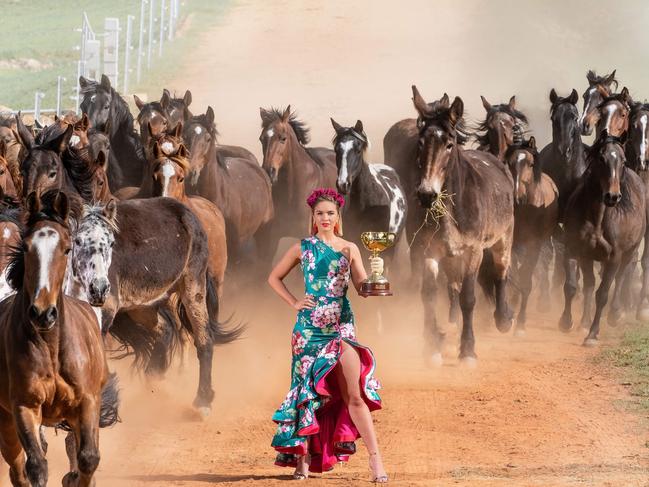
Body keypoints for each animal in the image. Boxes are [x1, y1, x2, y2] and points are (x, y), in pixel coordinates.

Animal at [0, 191, 119, 487]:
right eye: (78, 242)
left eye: (110, 242)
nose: (99, 289)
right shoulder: (25, 406)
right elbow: (37, 460)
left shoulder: (87, 401)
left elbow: (84, 454)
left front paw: (74, 476)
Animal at [410, 86, 512, 364]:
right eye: (420, 143)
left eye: (449, 143)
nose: (427, 194)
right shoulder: (429, 251)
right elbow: (428, 295)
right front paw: (432, 347)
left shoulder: (473, 251)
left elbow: (469, 298)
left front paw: (467, 350)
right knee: (453, 285)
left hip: (503, 239)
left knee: (501, 272)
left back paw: (504, 319)